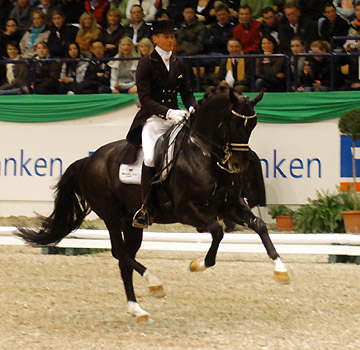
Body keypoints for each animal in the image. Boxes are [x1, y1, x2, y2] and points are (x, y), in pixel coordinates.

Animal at [16, 88, 290, 322]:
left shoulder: (229, 205)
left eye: (253, 124)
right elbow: (218, 232)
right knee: (120, 253)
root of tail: (89, 160)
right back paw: (154, 284)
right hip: (111, 216)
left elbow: (259, 225)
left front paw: (281, 271)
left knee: (124, 258)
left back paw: (137, 309)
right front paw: (197, 265)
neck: (203, 153)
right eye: (233, 124)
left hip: (131, 222)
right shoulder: (188, 211)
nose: (238, 166)